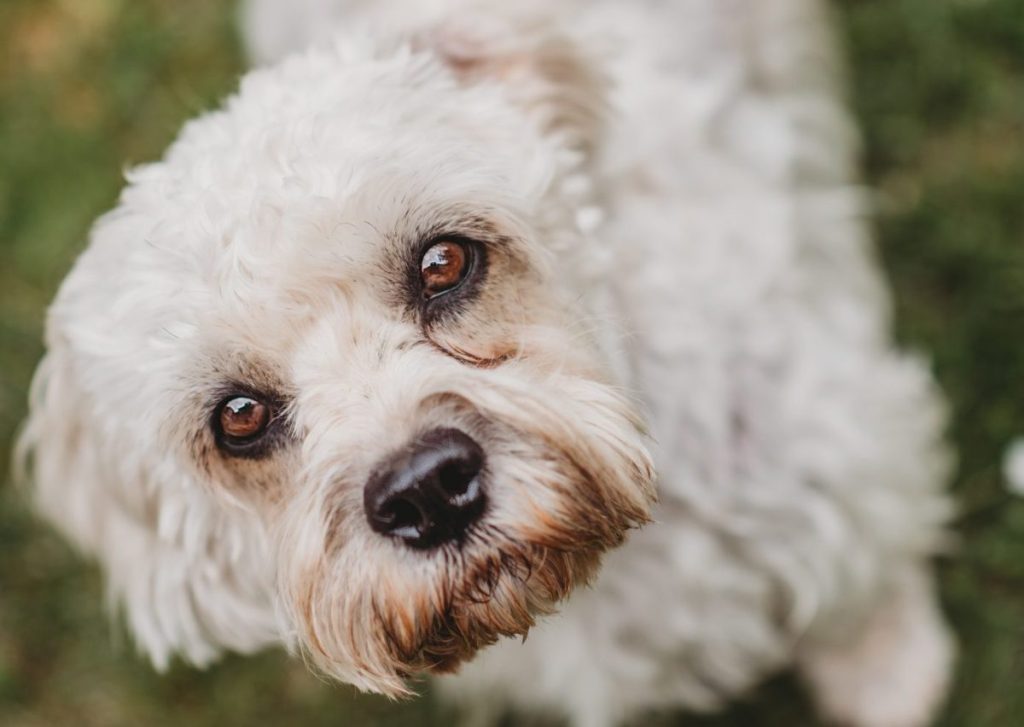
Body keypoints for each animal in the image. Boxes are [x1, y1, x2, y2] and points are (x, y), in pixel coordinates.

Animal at [16, 1, 954, 727]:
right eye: (238, 416)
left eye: (443, 260)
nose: (426, 491)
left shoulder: (831, 441)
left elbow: (860, 581)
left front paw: (889, 671)